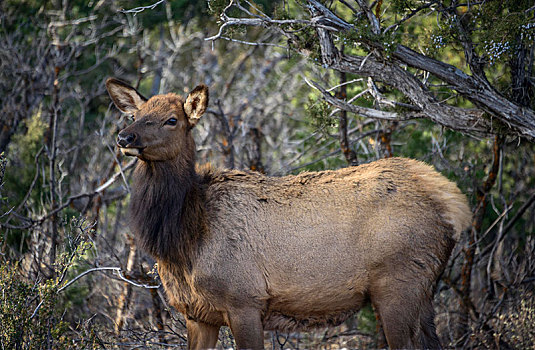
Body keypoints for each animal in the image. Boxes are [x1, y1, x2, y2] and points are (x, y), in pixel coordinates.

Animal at [107, 79, 472, 350]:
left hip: (400, 283)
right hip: (422, 291)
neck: (184, 238)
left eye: (172, 120)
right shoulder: (196, 314)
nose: (124, 136)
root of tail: (453, 202)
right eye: (137, 114)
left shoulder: (244, 299)